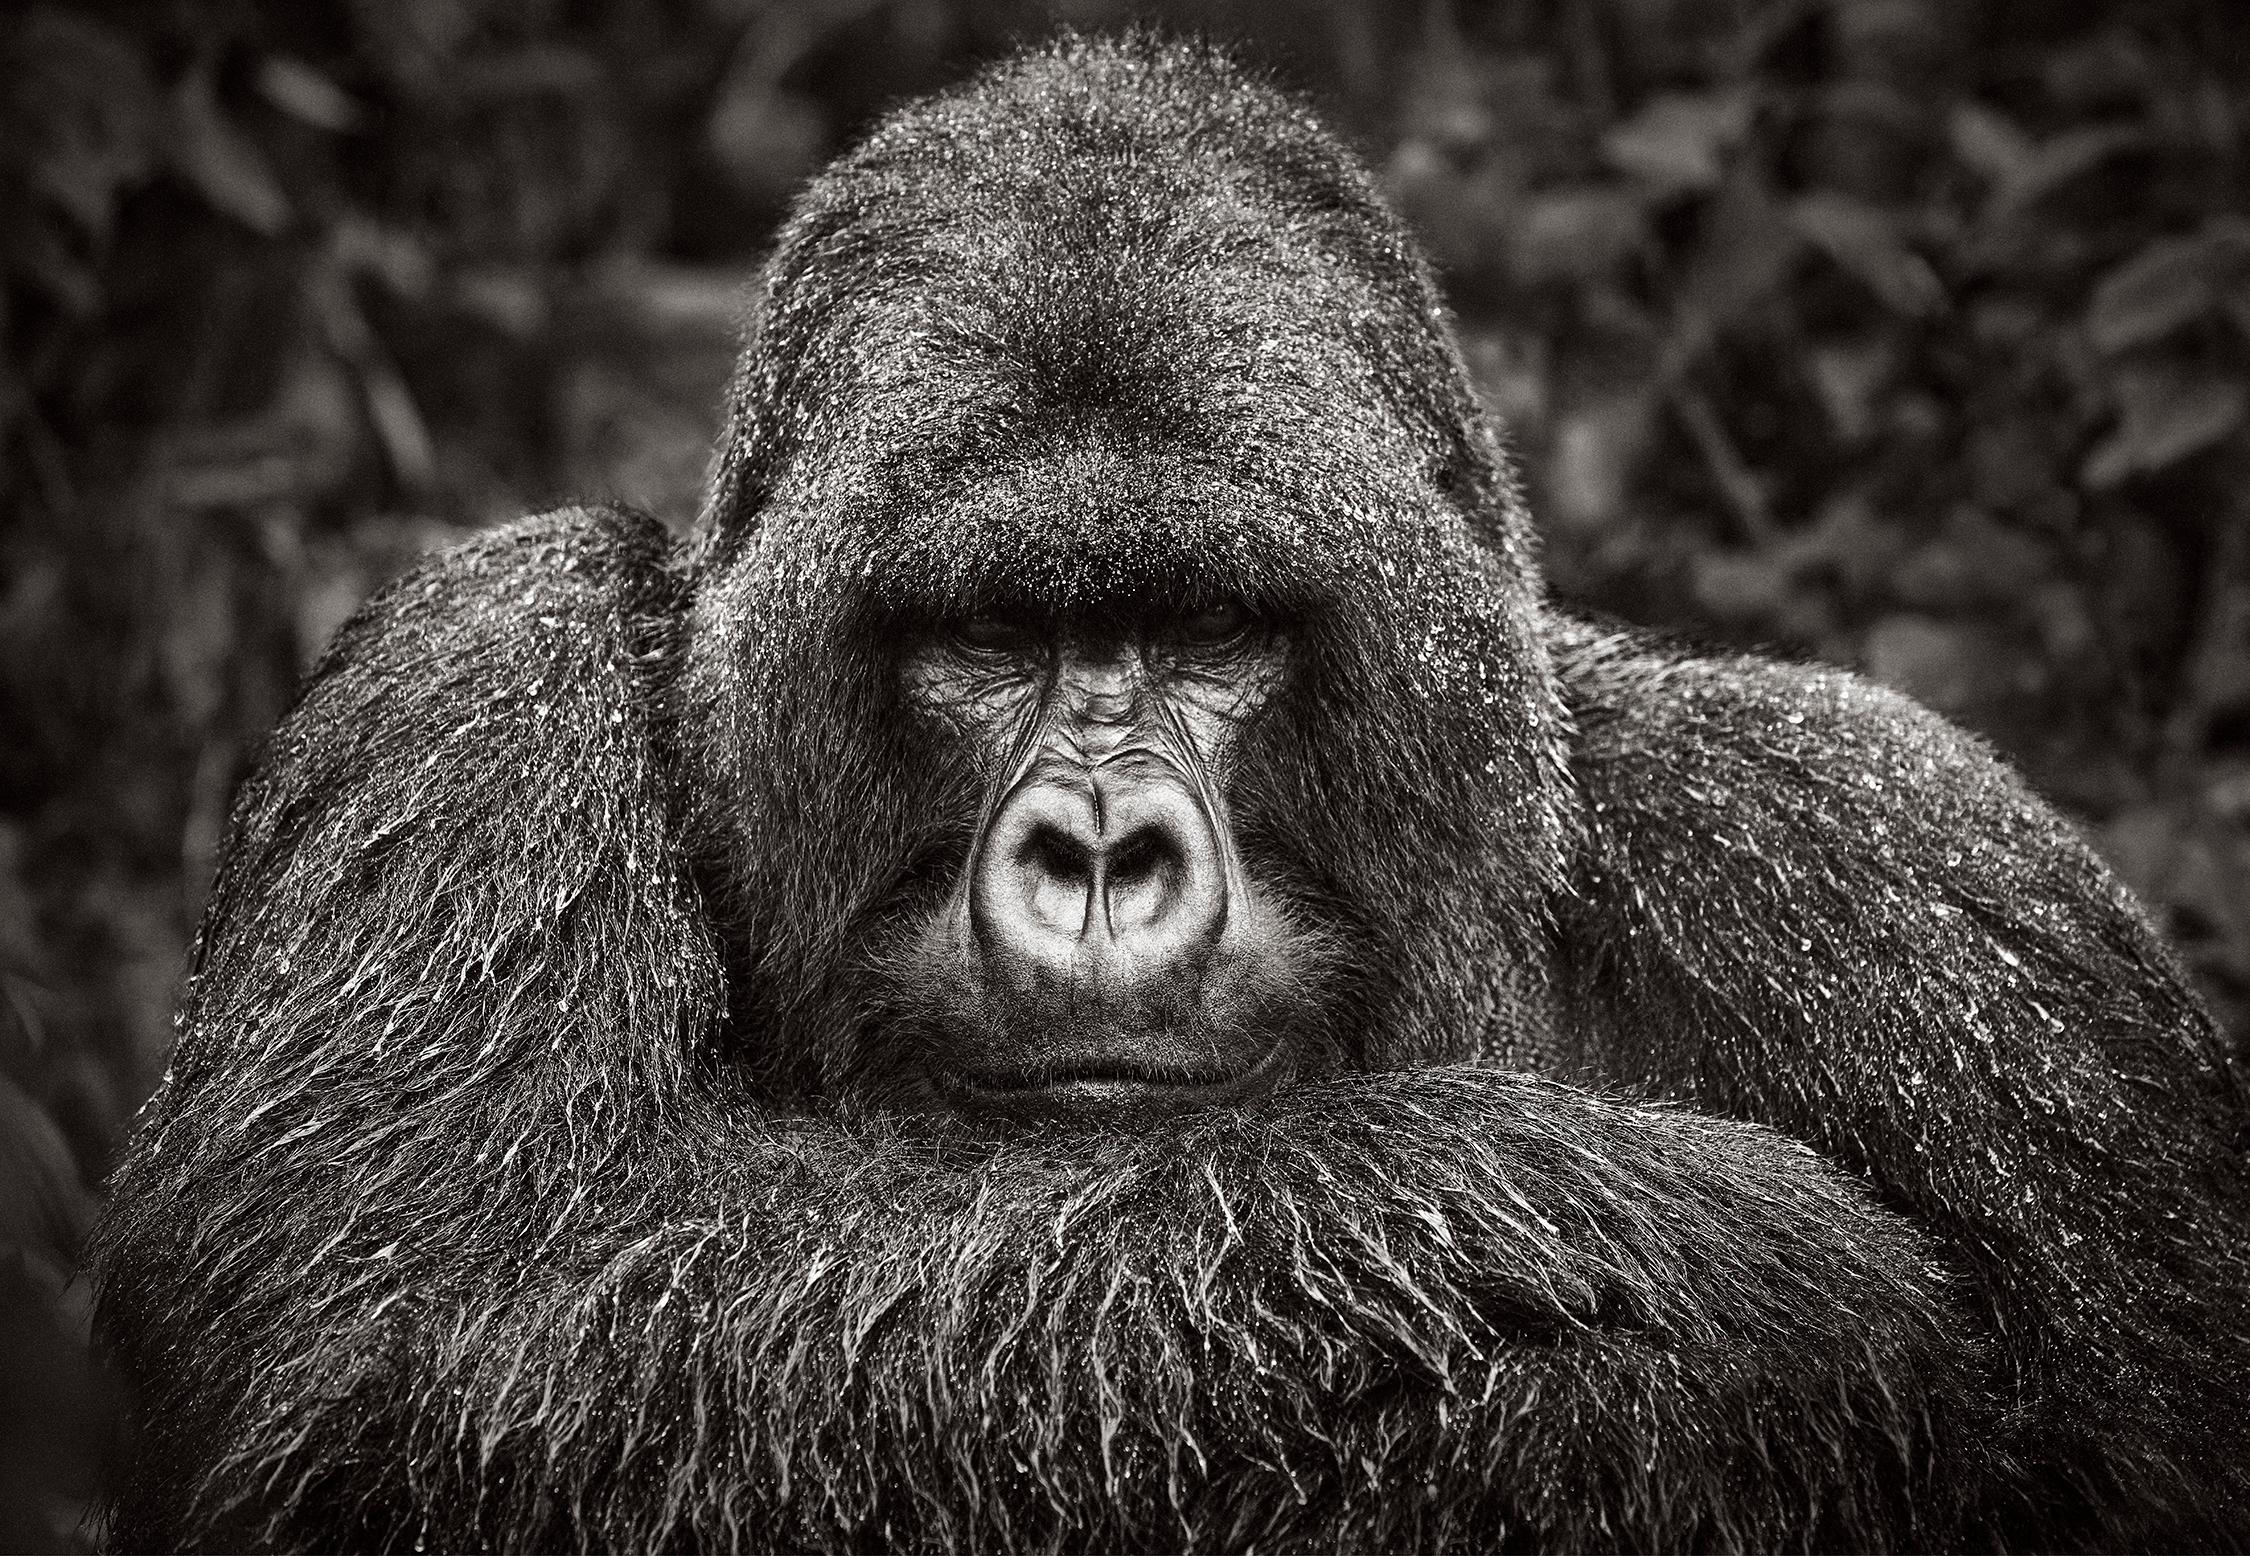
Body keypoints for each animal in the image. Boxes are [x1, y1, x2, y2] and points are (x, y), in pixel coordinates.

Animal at [87, 36, 2250, 1556]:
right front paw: (1708, 1270)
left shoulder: (1929, 906)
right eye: (991, 632)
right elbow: (415, 1355)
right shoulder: (467, 692)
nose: (1105, 853)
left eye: (1213, 625)